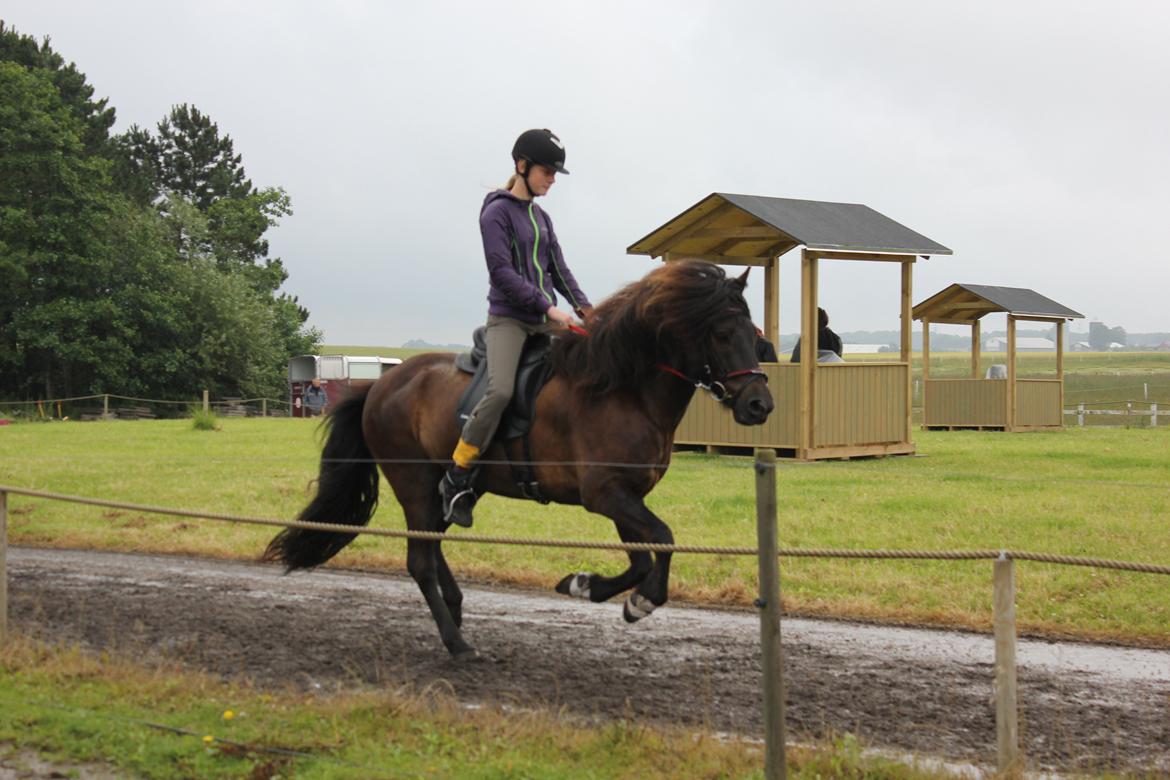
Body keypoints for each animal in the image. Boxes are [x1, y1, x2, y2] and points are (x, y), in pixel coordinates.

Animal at [266, 260, 776, 659]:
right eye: (722, 333)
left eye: (755, 336)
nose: (759, 405)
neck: (622, 388)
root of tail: (380, 386)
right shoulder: (606, 494)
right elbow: (663, 543)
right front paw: (639, 602)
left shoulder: (624, 495)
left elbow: (642, 558)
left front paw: (585, 584)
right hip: (412, 484)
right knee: (420, 561)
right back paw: (457, 643)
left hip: (441, 492)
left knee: (434, 544)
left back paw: (454, 609)